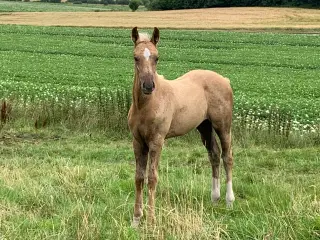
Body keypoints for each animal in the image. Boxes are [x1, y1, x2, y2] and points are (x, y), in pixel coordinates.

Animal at [127, 26, 235, 227]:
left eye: (157, 57)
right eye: (135, 57)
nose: (148, 86)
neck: (147, 105)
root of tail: (225, 80)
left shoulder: (157, 141)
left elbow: (152, 178)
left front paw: (151, 220)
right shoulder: (137, 141)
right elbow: (139, 178)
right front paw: (136, 220)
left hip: (223, 125)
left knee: (227, 157)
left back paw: (229, 200)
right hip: (204, 127)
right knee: (214, 155)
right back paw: (214, 198)